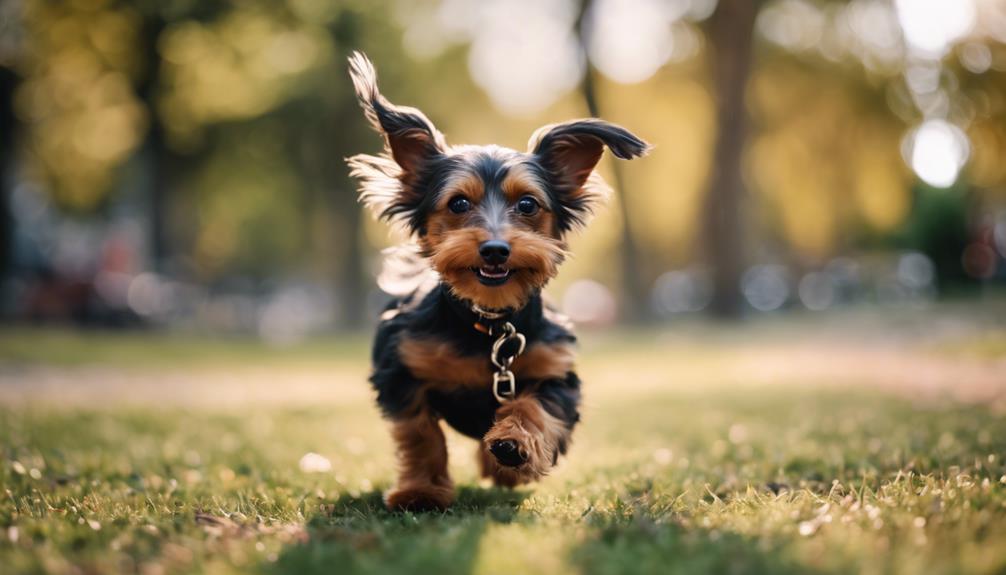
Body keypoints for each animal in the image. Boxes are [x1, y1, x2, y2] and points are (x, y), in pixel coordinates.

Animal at [346, 52, 647, 512]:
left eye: (527, 204)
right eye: (458, 203)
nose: (494, 250)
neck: (488, 324)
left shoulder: (556, 373)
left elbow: (534, 407)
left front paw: (512, 446)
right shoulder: (401, 372)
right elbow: (421, 435)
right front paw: (421, 491)